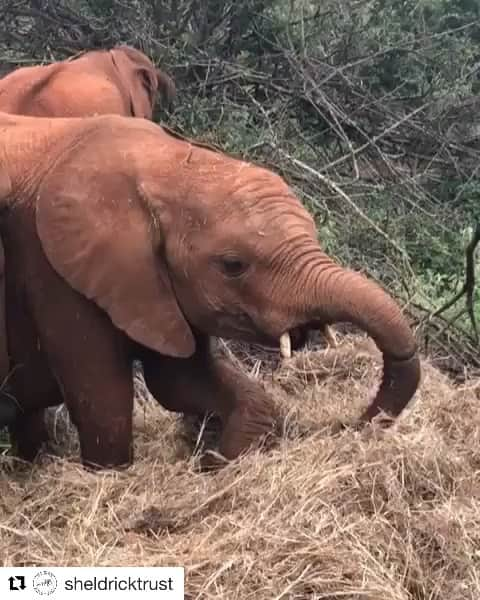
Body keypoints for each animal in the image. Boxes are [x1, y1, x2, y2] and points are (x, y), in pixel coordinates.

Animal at [0, 111, 420, 468]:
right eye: (233, 265)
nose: (353, 424)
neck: (162, 163)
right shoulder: (53, 272)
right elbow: (104, 405)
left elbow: (182, 381)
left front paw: (217, 462)